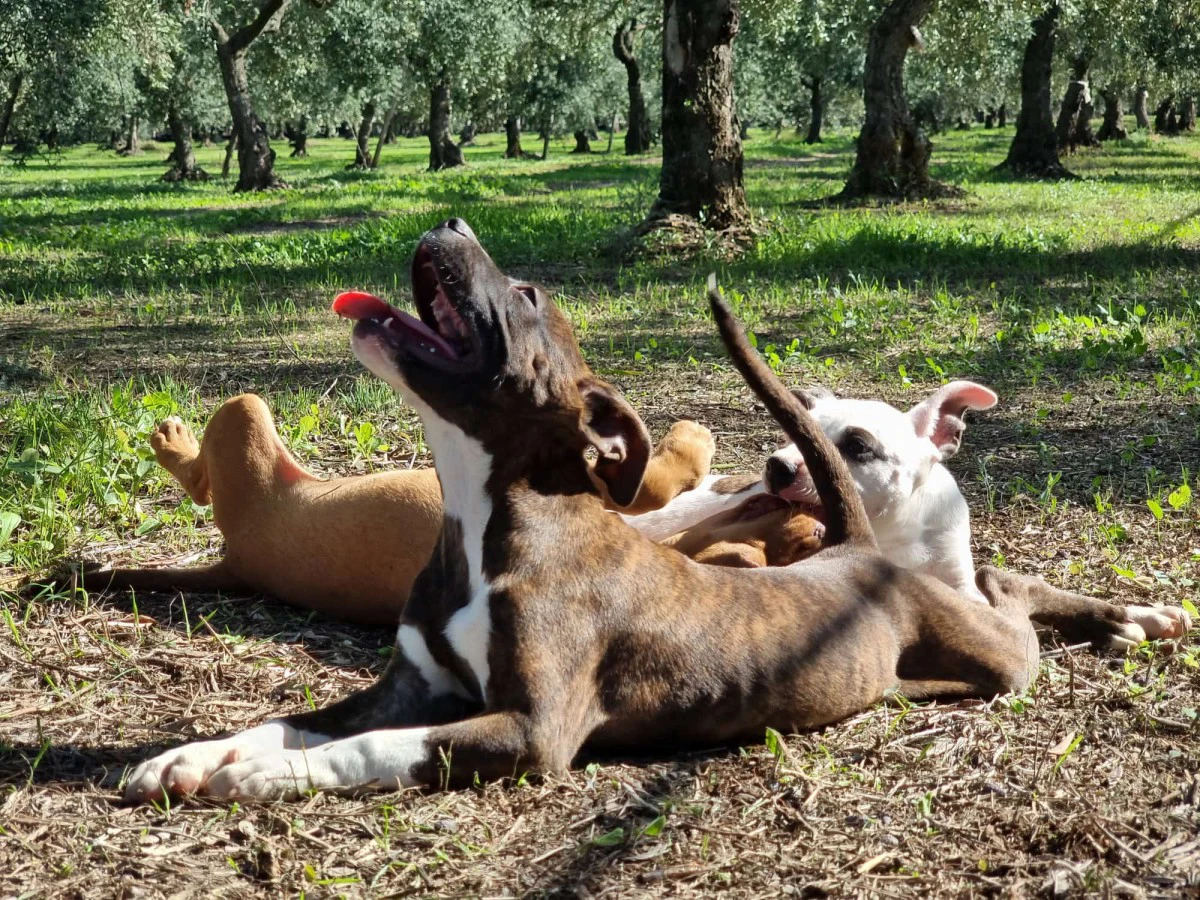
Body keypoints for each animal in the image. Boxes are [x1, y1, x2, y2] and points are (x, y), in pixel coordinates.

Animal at [96, 393, 710, 628]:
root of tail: (238, 566)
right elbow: (655, 484)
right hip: (246, 414)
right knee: (200, 478)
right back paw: (171, 437)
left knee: (202, 483)